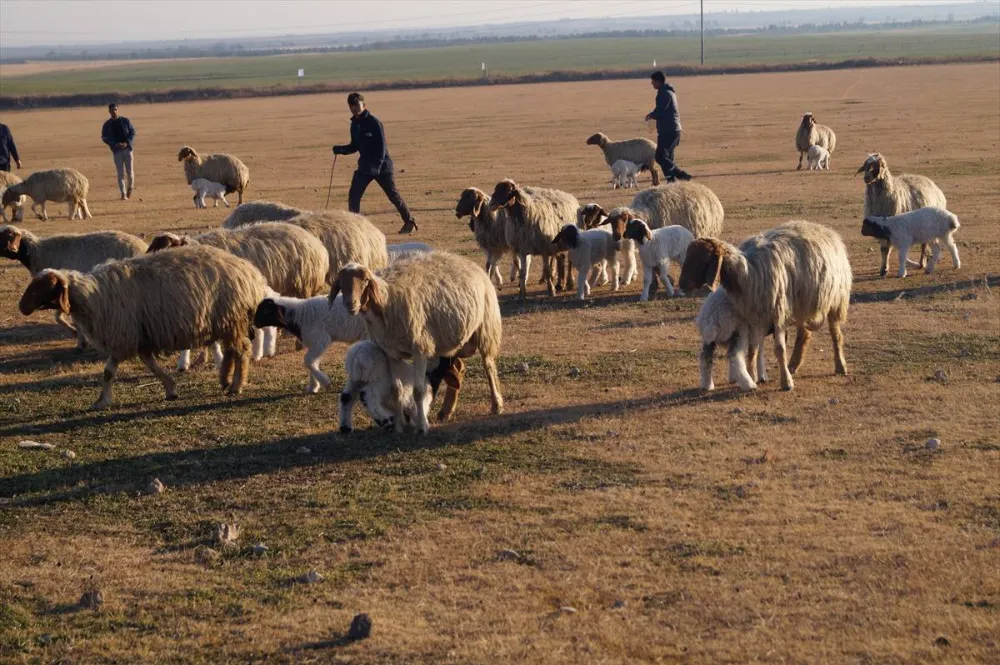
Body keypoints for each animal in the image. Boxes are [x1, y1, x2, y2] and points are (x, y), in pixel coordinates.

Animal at [19, 246, 270, 408]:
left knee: (241, 350)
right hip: (225, 321)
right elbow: (148, 364)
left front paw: (102, 401)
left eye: (41, 287)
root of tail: (250, 273)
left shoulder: (123, 335)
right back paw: (225, 380)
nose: (21, 307)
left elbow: (109, 371)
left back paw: (236, 385)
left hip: (232, 317)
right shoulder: (139, 336)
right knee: (230, 351)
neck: (94, 296)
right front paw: (170, 389)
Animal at [330, 252, 504, 434]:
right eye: (340, 283)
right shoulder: (391, 352)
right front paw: (399, 427)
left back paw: (496, 404)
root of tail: (466, 261)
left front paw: (421, 427)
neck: (388, 299)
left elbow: (419, 391)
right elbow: (397, 390)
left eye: (364, 280)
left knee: (488, 366)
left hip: (486, 327)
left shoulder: (420, 349)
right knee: (458, 370)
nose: (350, 304)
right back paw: (446, 411)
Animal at [676, 220, 848, 392]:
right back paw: (793, 365)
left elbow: (779, 349)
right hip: (802, 303)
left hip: (835, 300)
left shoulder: (777, 314)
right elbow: (753, 349)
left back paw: (840, 366)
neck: (748, 273)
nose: (681, 285)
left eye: (701, 258)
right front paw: (753, 376)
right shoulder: (755, 317)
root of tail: (820, 227)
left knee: (836, 335)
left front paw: (786, 382)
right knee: (804, 334)